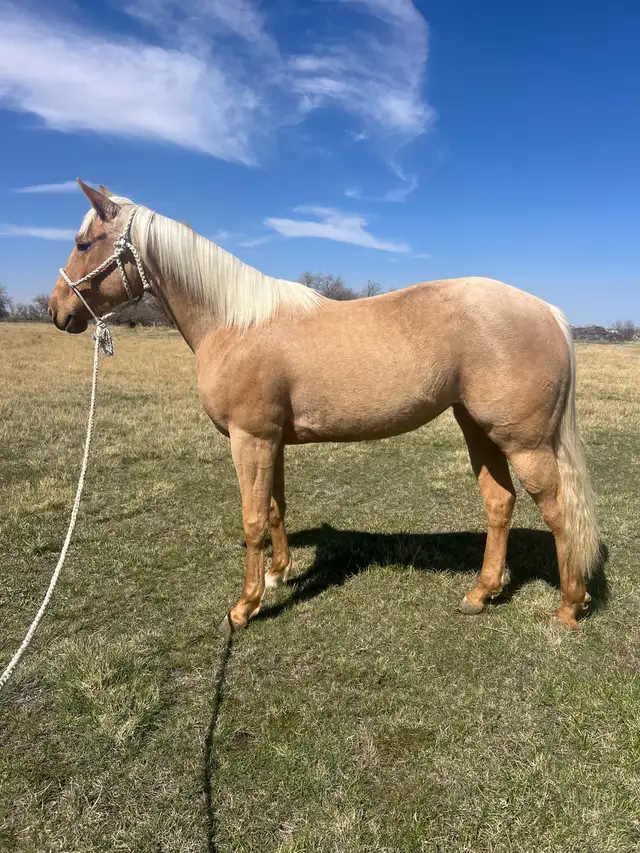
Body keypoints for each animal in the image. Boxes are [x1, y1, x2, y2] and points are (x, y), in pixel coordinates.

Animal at [48, 180, 600, 633]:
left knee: (558, 510)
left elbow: (252, 519)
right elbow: (275, 507)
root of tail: (547, 311)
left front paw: (244, 607)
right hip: (477, 429)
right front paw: (277, 575)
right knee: (499, 503)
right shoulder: (271, 441)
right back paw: (481, 594)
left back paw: (569, 606)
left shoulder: (251, 439)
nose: (57, 311)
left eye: (83, 244)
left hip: (523, 442)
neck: (235, 322)